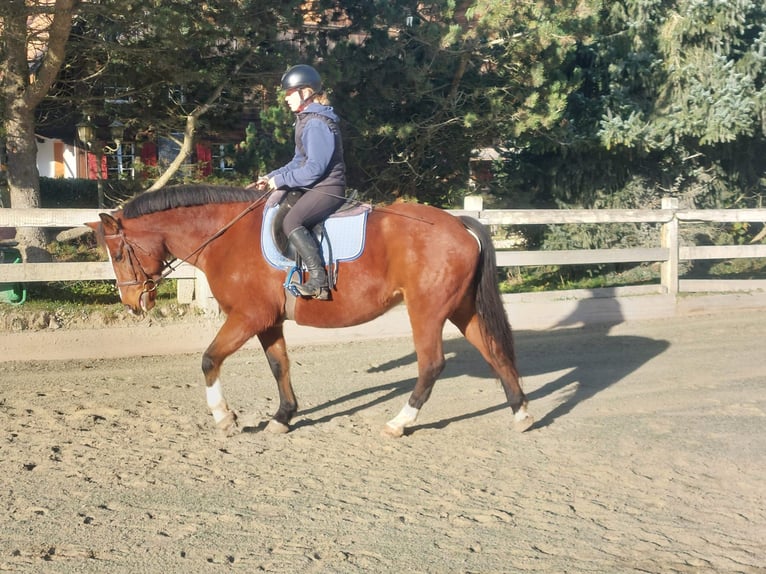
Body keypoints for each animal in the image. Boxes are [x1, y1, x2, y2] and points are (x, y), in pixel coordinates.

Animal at [85, 187, 536, 438]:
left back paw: (400, 422)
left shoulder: (247, 316)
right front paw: (283, 417)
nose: (133, 303)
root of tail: (460, 224)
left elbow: (210, 358)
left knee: (431, 364)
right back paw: (521, 414)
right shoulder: (268, 321)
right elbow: (279, 365)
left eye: (118, 253)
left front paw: (224, 418)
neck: (227, 235)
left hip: (426, 310)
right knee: (494, 352)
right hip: (461, 309)